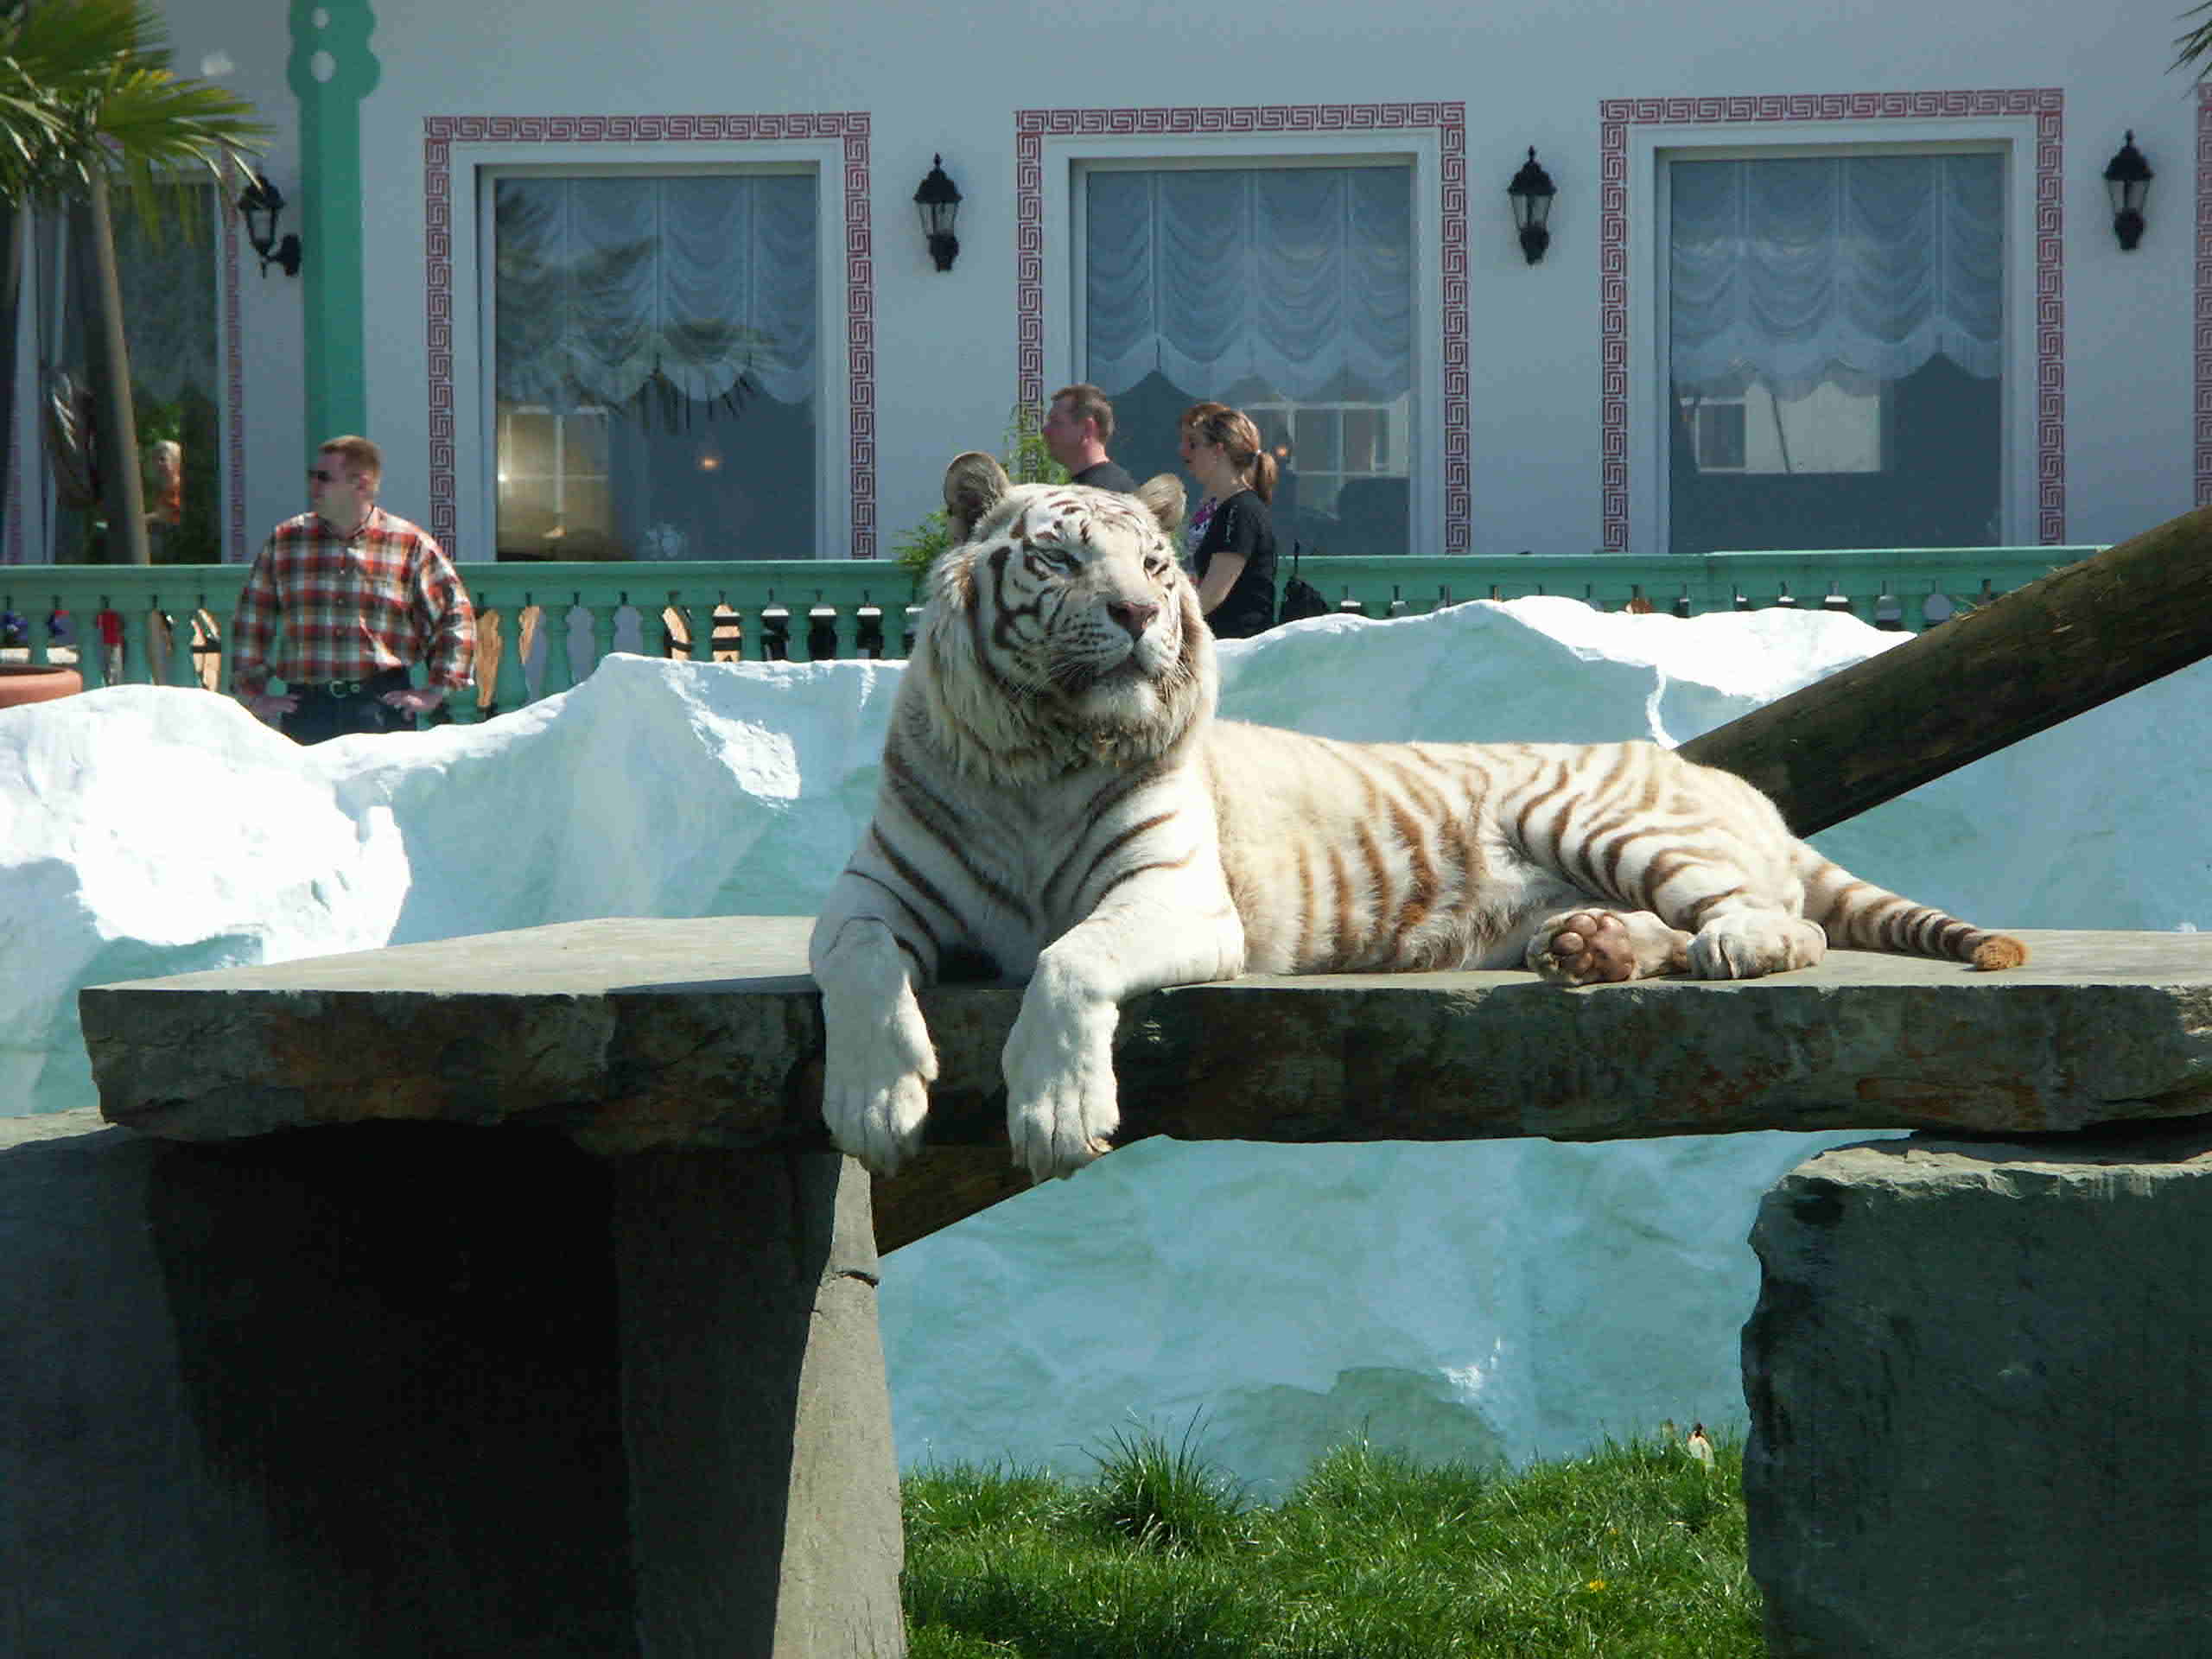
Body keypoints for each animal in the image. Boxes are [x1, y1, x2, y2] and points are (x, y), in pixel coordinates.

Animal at [807, 452, 2028, 1184]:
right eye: (1061, 556)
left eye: (1155, 560)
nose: (1141, 612)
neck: (1040, 758)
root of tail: (1731, 785)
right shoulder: (864, 899)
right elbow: (863, 972)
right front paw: (872, 1108)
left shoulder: (1176, 899)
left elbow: (1069, 962)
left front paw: (1057, 1116)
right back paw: (1587, 949)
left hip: (1604, 822)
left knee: (1783, 923)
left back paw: (1718, 944)